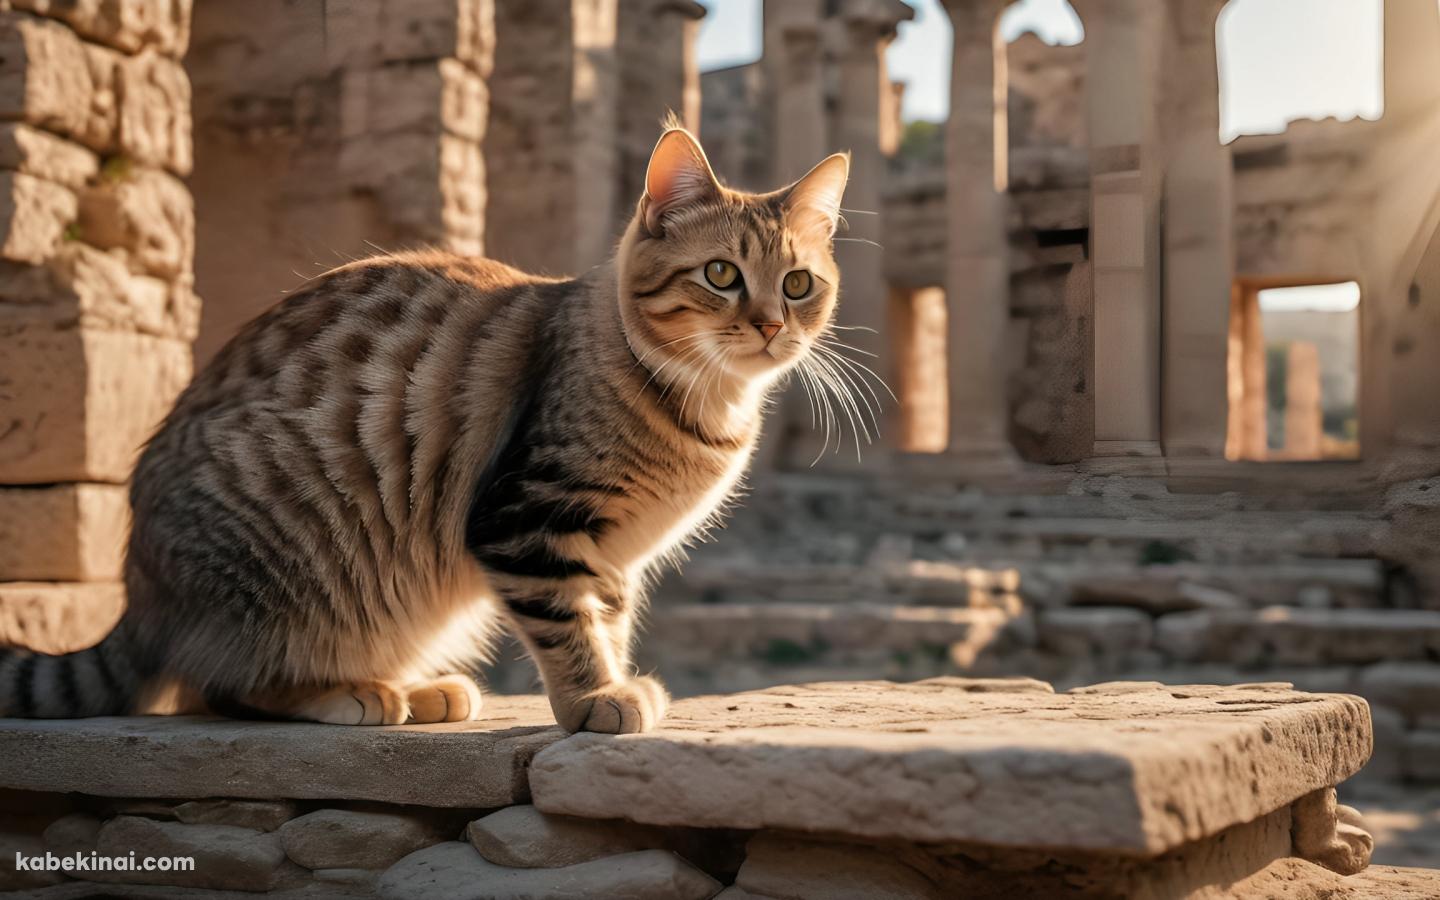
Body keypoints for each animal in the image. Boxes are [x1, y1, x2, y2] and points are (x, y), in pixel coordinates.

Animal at [0, 124, 846, 731]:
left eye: (799, 284)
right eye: (721, 275)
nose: (771, 325)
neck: (707, 406)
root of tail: (140, 597)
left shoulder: (610, 557)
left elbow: (605, 618)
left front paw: (609, 679)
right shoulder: (526, 520)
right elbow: (568, 626)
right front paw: (594, 700)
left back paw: (422, 689)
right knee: (216, 687)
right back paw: (355, 693)